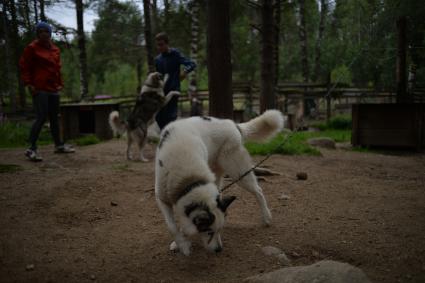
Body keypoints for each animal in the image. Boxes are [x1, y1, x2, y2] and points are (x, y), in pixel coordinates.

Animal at [154, 110, 284, 256]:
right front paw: (181, 244)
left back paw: (266, 217)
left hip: (238, 172)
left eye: (219, 230)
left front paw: (183, 244)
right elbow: (172, 226)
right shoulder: (162, 198)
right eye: (209, 232)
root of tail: (233, 124)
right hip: (218, 175)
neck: (189, 178)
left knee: (258, 191)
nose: (219, 250)